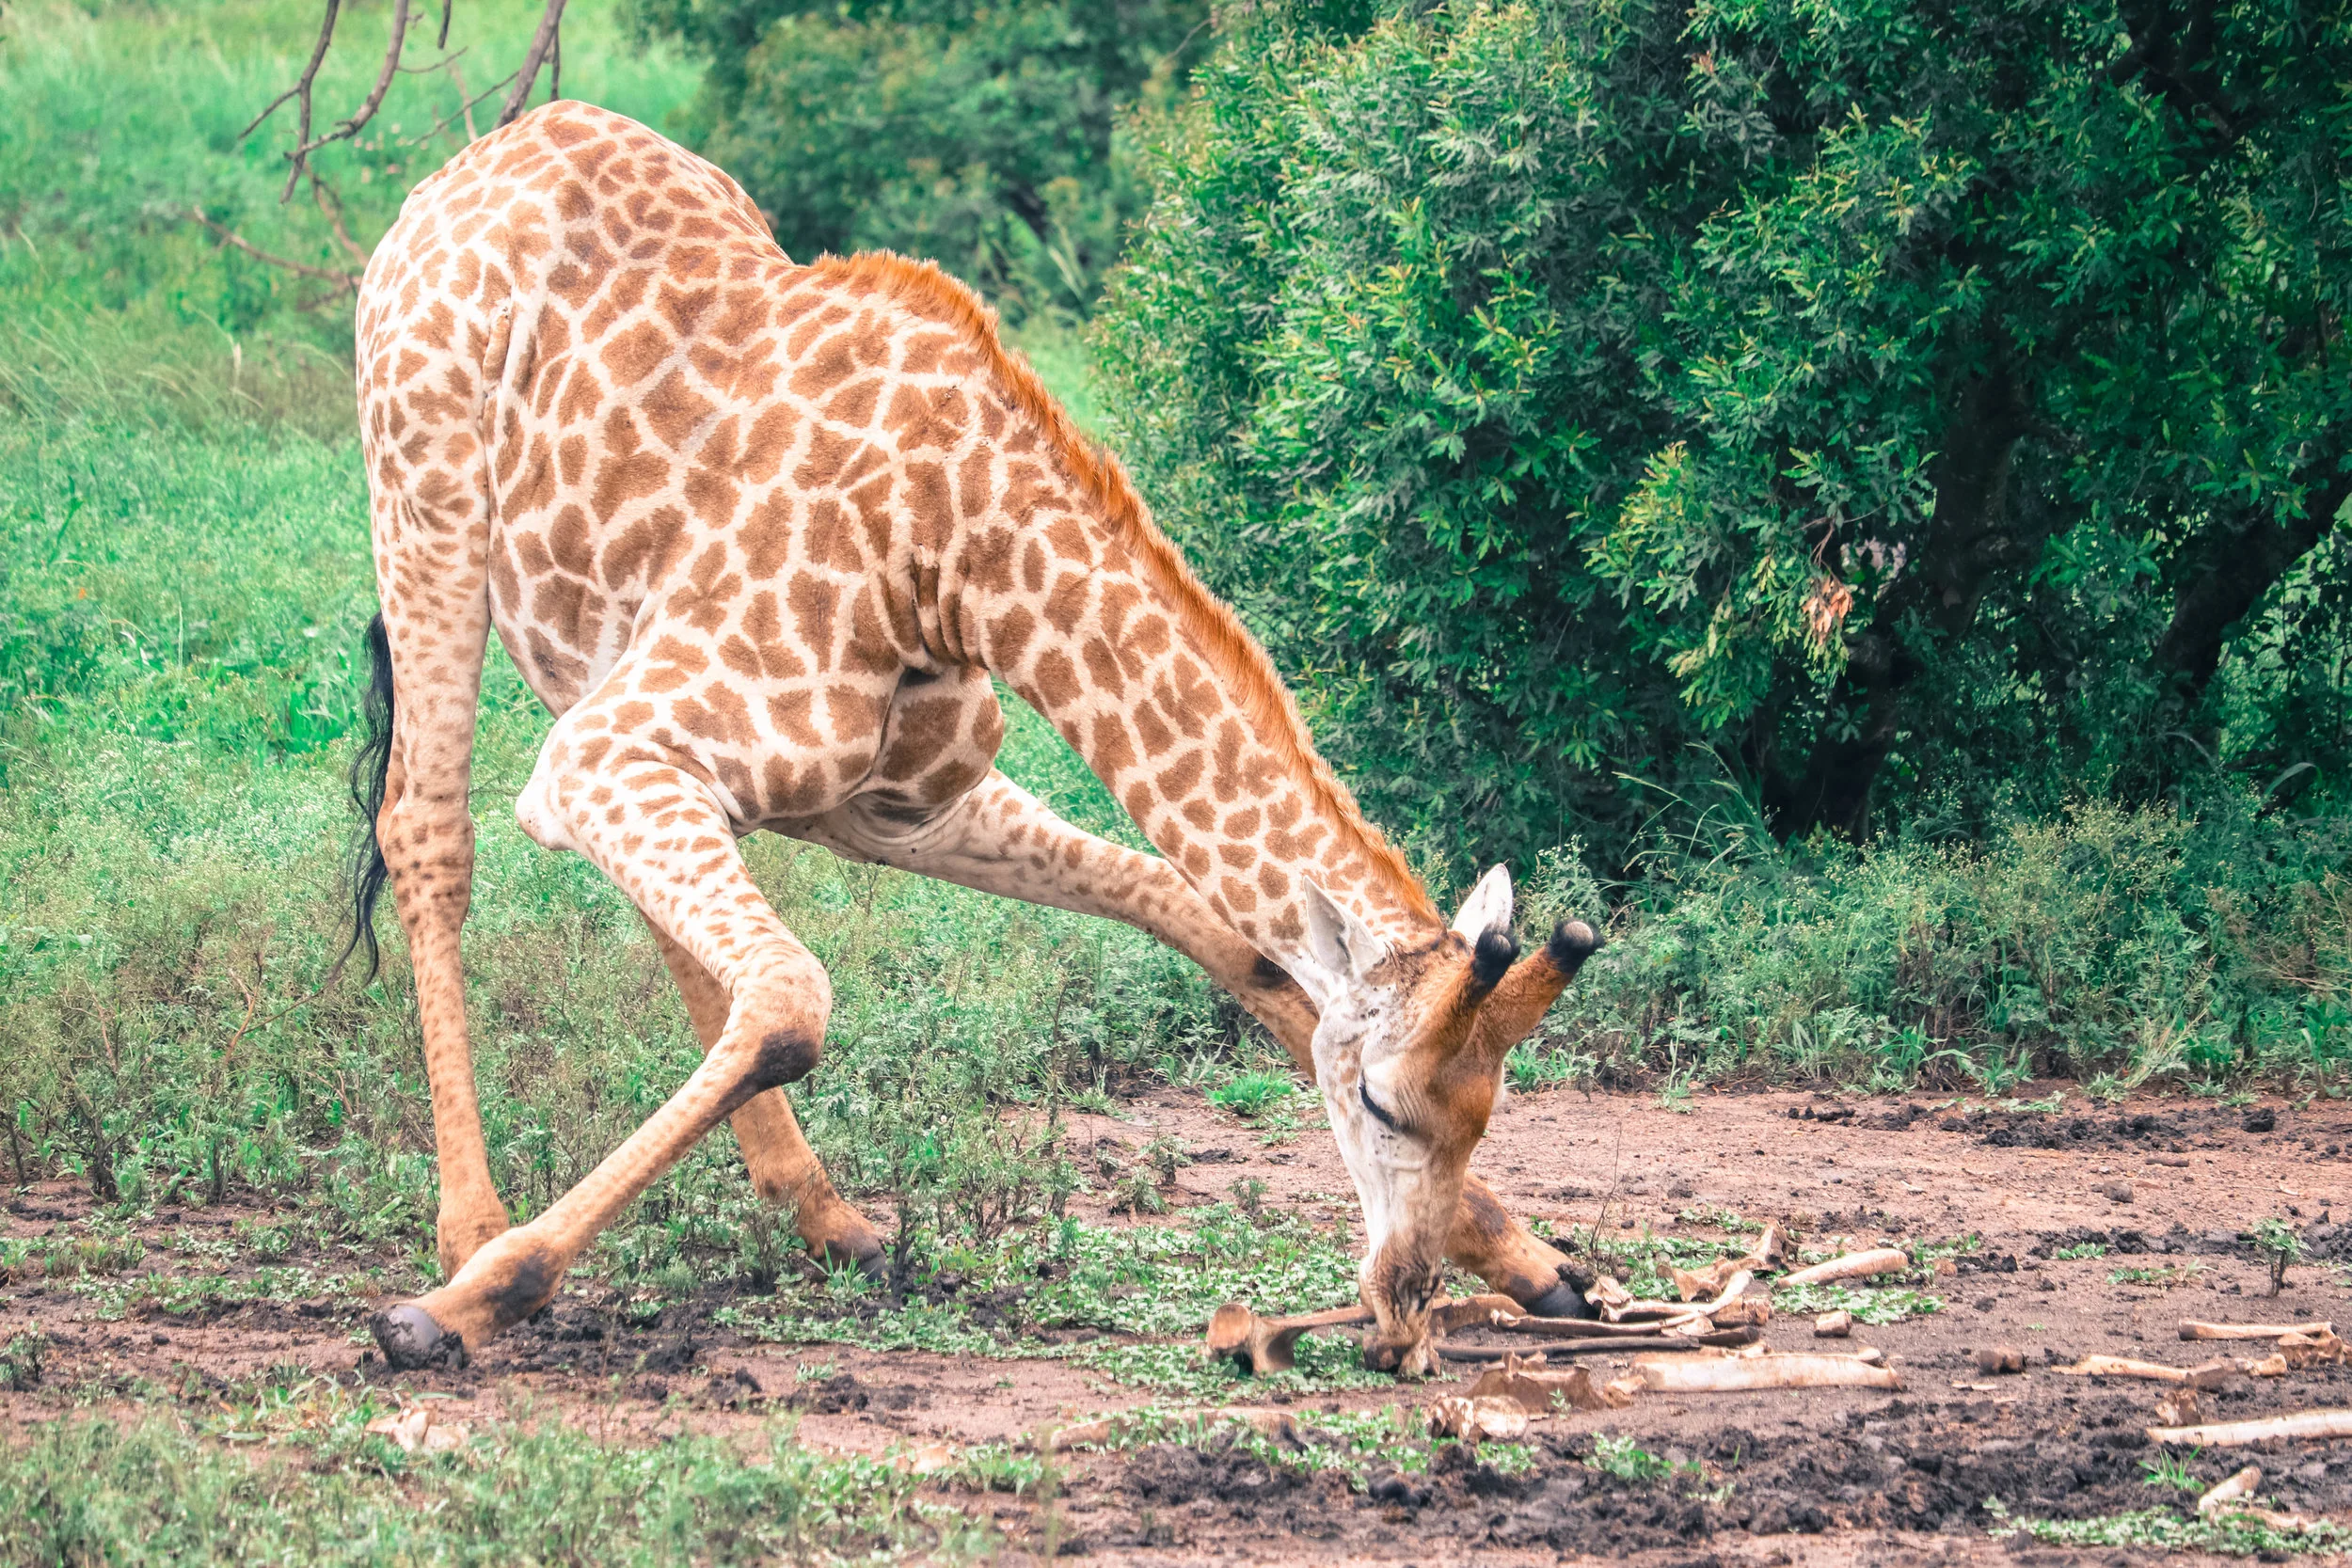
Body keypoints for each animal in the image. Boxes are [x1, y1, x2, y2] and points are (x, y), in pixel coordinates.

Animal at [352, 101, 1602, 1377]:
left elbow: (1209, 920)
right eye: (1382, 1103)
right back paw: (473, 1228)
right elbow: (793, 999)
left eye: (1489, 1109)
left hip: (591, 659)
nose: (1401, 1312)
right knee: (428, 834)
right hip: (427, 504)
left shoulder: (890, 804)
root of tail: (489, 151)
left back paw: (819, 1211)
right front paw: (464, 1299)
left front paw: (1536, 1261)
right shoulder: (616, 750)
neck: (953, 554)